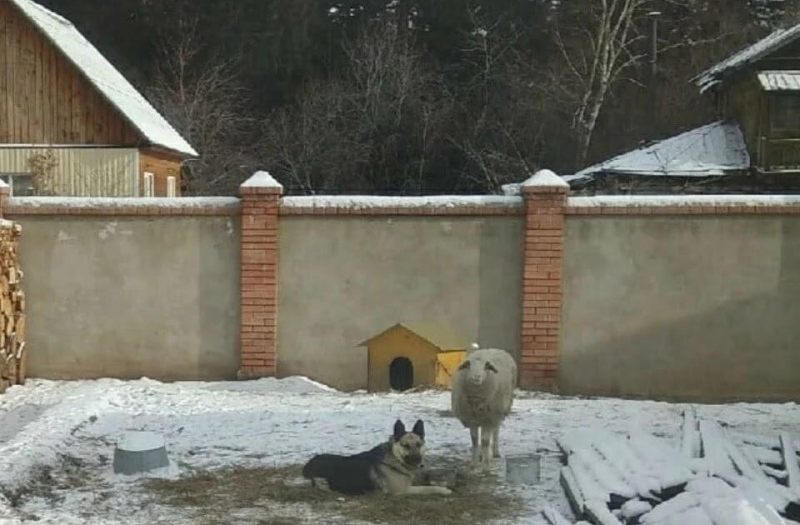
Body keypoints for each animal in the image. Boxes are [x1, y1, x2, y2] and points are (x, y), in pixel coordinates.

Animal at [300, 418, 454, 496]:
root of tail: (308, 464)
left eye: (418, 444)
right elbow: (426, 488)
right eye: (405, 446)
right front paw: (443, 490)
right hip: (323, 481)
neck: (394, 459)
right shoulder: (402, 491)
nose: (419, 462)